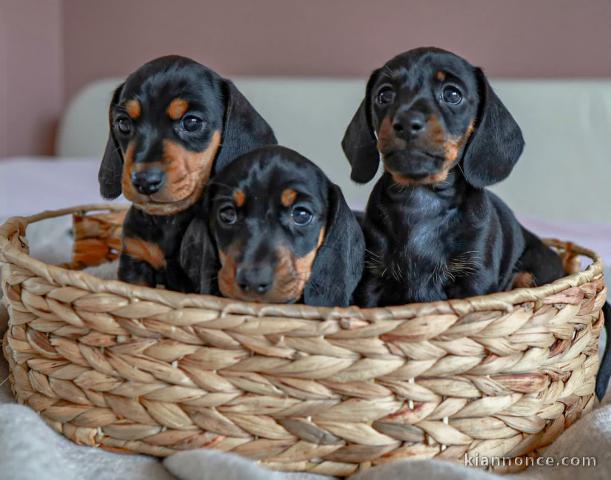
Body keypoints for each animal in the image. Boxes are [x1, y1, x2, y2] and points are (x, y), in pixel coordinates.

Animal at [342, 47, 568, 306]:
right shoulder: (372, 280)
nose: (407, 122)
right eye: (384, 95)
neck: (422, 199)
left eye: (452, 94)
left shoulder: (474, 279)